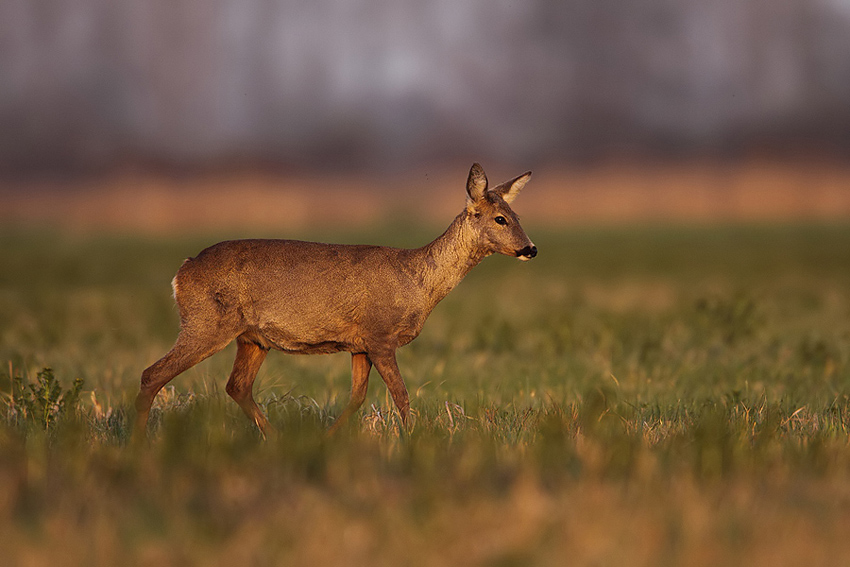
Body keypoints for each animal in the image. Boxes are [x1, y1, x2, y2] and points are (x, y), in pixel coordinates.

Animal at [135, 164, 532, 440]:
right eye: (500, 218)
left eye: (517, 216)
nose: (531, 248)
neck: (417, 282)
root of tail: (183, 270)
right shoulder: (380, 336)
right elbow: (401, 395)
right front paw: (416, 439)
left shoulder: (359, 345)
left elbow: (357, 397)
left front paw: (328, 439)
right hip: (207, 322)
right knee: (153, 373)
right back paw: (138, 441)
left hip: (252, 338)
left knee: (237, 386)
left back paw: (275, 438)